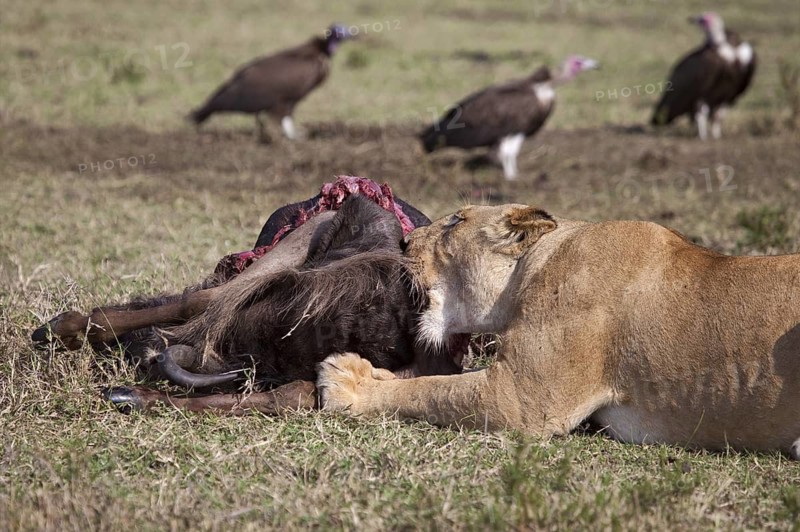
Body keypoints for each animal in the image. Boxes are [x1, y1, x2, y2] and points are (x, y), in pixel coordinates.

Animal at [317, 204, 800, 458]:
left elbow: (433, 390)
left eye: (456, 220)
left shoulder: (522, 399)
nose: (403, 241)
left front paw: (346, 385)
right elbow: (433, 380)